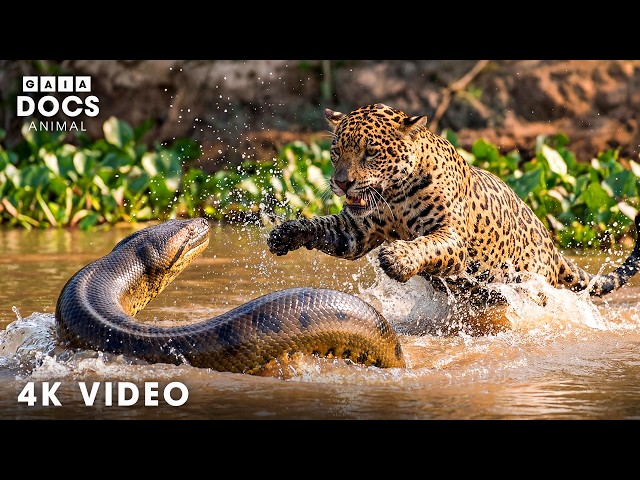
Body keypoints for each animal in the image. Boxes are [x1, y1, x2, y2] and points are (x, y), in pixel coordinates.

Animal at [267, 103, 640, 334]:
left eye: (370, 153)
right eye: (334, 154)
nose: (341, 182)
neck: (394, 196)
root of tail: (551, 246)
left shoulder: (452, 238)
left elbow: (426, 245)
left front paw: (398, 257)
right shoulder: (354, 232)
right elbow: (319, 226)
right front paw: (283, 233)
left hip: (532, 288)